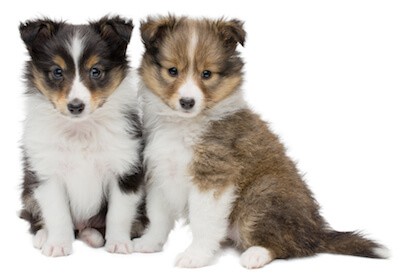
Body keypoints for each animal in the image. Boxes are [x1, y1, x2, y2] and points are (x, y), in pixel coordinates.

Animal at [19, 16, 147, 256]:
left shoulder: (125, 170)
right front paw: (58, 246)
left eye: (95, 71)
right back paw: (44, 236)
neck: (80, 130)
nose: (75, 106)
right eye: (57, 71)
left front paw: (118, 243)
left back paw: (93, 236)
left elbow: (119, 213)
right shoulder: (47, 172)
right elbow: (57, 213)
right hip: (28, 188)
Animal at [134, 15, 388, 268]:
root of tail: (317, 232)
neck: (182, 125)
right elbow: (158, 216)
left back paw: (256, 254)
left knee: (292, 246)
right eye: (172, 71)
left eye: (206, 74)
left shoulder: (213, 176)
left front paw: (195, 255)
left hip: (261, 195)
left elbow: (203, 221)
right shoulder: (159, 171)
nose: (187, 102)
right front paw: (149, 243)